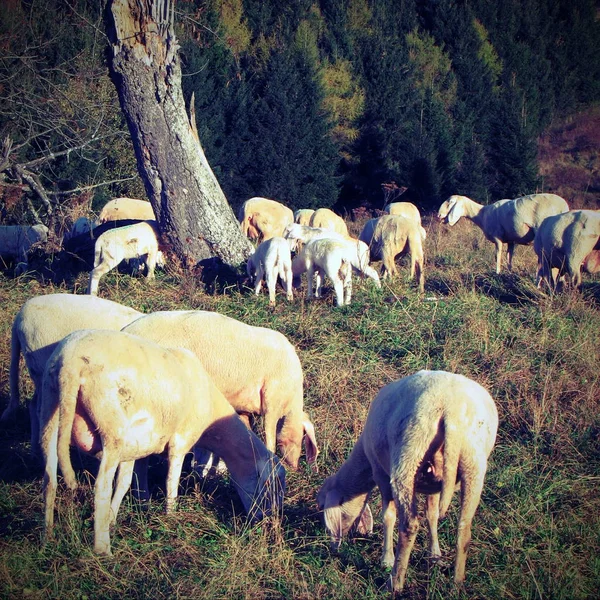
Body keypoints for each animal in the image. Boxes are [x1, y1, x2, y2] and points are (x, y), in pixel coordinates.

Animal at [1, 294, 142, 454]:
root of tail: (20, 314)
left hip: (39, 372)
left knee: (33, 405)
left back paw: (34, 452)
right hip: (42, 366)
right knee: (40, 411)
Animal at [40, 330, 286, 556]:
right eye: (270, 487)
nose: (267, 524)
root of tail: (71, 364)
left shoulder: (138, 446)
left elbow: (127, 482)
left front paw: (119, 516)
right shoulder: (181, 441)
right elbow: (170, 483)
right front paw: (171, 518)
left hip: (50, 410)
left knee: (49, 477)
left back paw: (48, 536)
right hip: (110, 425)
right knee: (101, 487)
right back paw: (103, 550)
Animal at [120, 310, 318, 474]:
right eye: (303, 436)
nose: (295, 467)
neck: (291, 402)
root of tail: (125, 330)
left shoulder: (243, 408)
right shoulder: (272, 398)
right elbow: (269, 437)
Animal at [316, 370, 500, 596]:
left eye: (323, 505)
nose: (333, 548)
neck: (364, 461)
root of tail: (451, 411)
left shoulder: (381, 474)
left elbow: (388, 517)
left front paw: (386, 559)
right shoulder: (434, 486)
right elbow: (432, 514)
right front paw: (434, 554)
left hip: (408, 457)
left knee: (409, 526)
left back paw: (394, 583)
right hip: (474, 464)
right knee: (464, 527)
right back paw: (457, 583)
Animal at [436, 193, 568, 274]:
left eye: (450, 202)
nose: (438, 216)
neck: (482, 214)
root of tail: (563, 206)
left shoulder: (497, 237)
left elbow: (497, 256)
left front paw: (497, 273)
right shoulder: (511, 240)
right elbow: (509, 257)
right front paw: (509, 273)